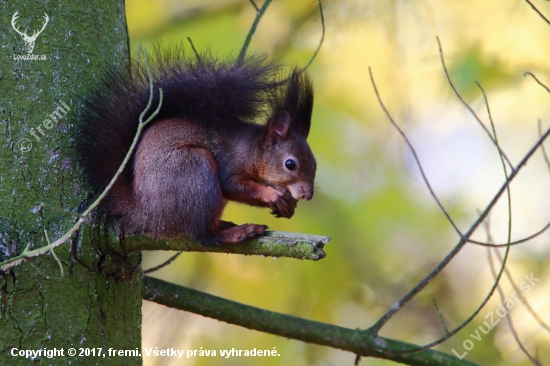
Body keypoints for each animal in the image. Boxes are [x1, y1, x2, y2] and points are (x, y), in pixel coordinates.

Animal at [80, 49, 316, 246]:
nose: (307, 195)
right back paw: (236, 233)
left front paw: (288, 204)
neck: (252, 150)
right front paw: (272, 195)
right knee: (202, 236)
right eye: (290, 164)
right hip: (195, 170)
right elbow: (234, 186)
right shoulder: (231, 161)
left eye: (314, 164)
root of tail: (146, 213)